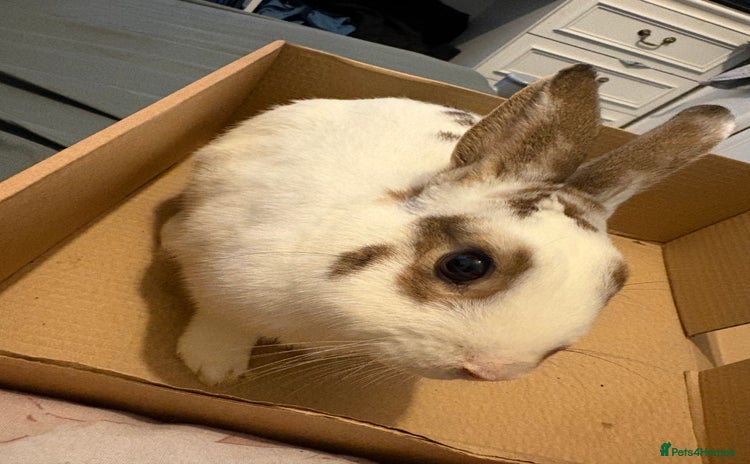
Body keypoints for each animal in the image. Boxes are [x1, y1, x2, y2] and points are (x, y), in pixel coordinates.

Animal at [161, 64, 734, 386]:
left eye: (614, 288)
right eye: (465, 264)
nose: (494, 370)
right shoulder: (224, 273)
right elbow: (223, 318)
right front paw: (210, 368)